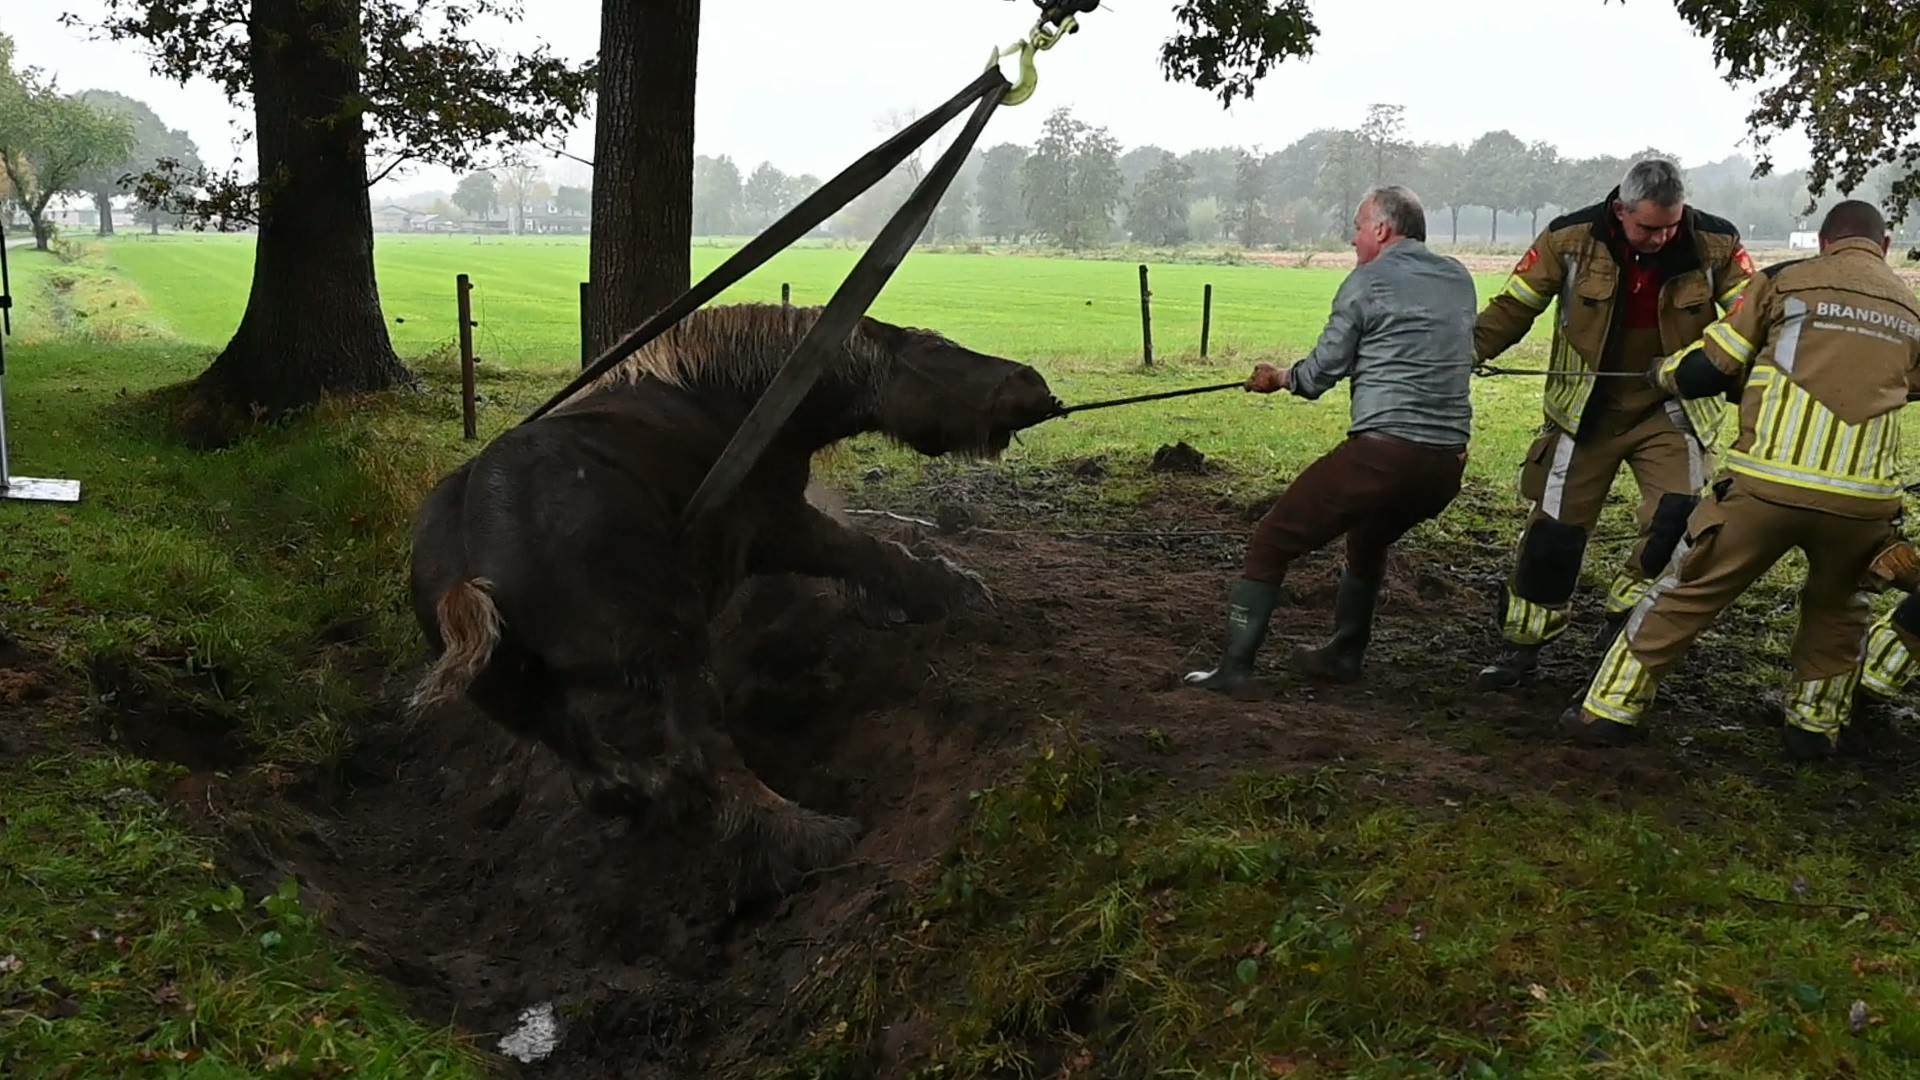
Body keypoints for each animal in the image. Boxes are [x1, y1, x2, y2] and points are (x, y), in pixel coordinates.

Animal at [408, 303, 1067, 891]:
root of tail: (470, 569)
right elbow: (865, 553)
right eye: (938, 349)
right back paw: (810, 836)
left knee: (602, 781)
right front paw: (950, 588)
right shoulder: (781, 525)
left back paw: (660, 801)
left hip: (538, 705)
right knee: (704, 757)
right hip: (672, 652)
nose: (1034, 384)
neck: (730, 397)